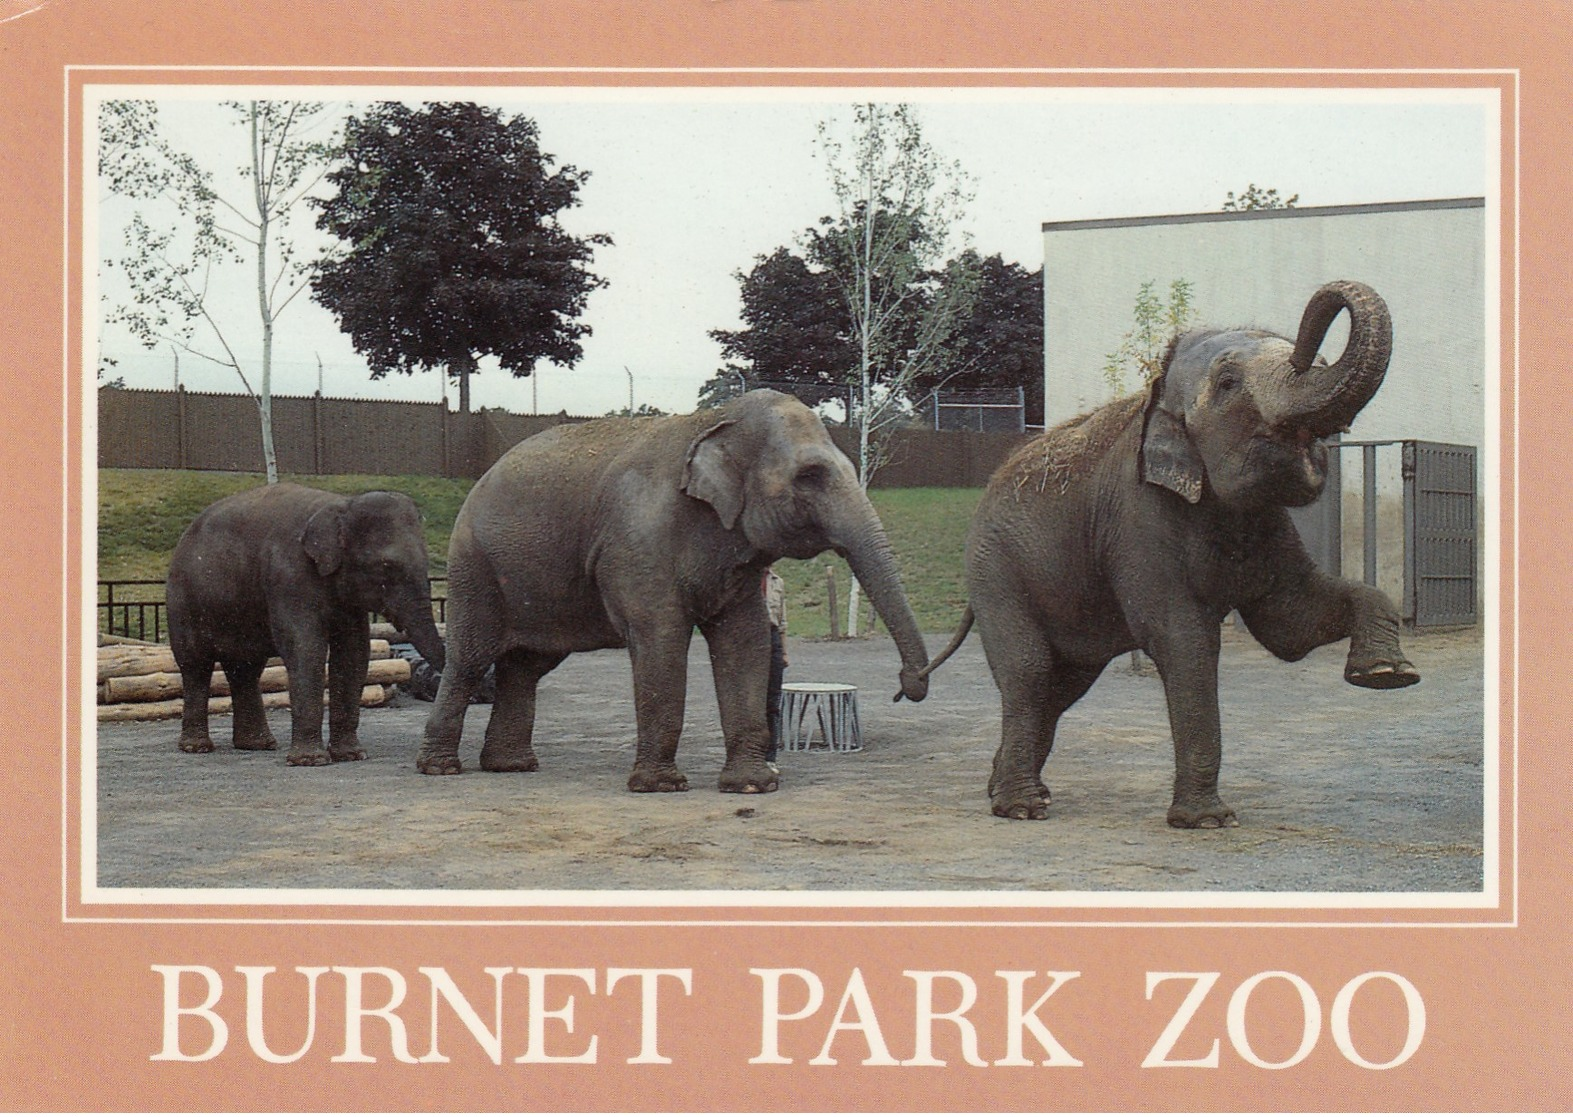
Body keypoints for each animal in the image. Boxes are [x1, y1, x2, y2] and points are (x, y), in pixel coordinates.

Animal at [165, 484, 446, 764]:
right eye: (386, 566)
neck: (342, 504)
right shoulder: (289, 576)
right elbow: (306, 648)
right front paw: (311, 761)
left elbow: (354, 653)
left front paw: (352, 755)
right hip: (183, 603)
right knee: (196, 666)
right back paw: (196, 747)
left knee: (245, 668)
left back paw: (258, 745)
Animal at [418, 393, 931, 796]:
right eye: (810, 475)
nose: (907, 685)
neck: (714, 420)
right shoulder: (639, 540)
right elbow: (660, 638)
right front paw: (661, 787)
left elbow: (745, 641)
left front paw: (752, 786)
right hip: (475, 568)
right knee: (470, 659)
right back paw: (441, 769)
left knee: (526, 665)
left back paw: (512, 767)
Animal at [924, 280, 1421, 824]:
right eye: (1228, 382)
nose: (1315, 350)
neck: (1156, 397)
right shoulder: (1139, 520)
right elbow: (1183, 641)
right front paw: (1207, 821)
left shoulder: (1268, 524)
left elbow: (1290, 625)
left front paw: (1387, 676)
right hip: (995, 570)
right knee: (1030, 672)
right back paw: (1022, 808)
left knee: (1060, 688)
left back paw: (1006, 791)